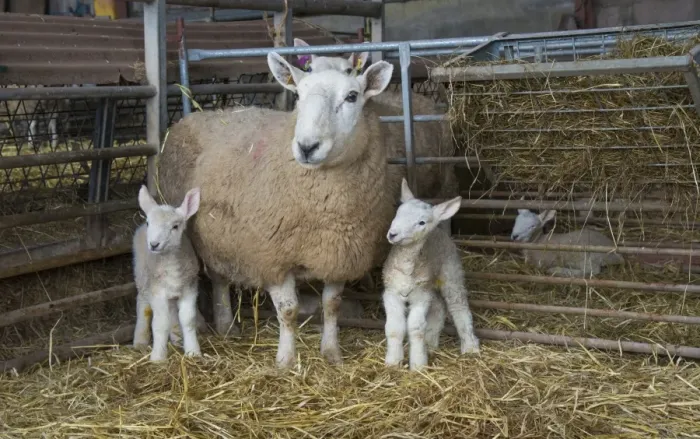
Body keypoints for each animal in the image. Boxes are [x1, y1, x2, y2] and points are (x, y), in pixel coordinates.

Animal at [132, 185, 203, 361]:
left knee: (171, 310)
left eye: (175, 226)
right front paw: (158, 357)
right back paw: (140, 341)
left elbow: (188, 319)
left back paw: (177, 338)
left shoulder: (190, 288)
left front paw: (193, 351)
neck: (171, 266)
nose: (154, 244)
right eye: (149, 223)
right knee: (143, 305)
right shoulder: (157, 292)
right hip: (142, 275)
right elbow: (160, 323)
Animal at [158, 51, 418, 368]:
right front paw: (285, 360)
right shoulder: (273, 257)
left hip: (220, 233)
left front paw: (331, 352)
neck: (328, 211)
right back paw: (210, 326)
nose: (307, 147)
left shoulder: (338, 253)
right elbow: (288, 311)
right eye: (299, 96)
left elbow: (332, 305)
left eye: (352, 96)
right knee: (206, 278)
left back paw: (226, 327)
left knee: (219, 277)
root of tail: (191, 116)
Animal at [383, 178, 479, 370]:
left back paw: (470, 346)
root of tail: (440, 230)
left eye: (421, 223)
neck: (407, 266)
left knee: (458, 307)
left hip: (451, 272)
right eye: (398, 213)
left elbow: (415, 328)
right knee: (439, 307)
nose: (393, 234)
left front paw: (418, 365)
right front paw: (393, 362)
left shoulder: (421, 296)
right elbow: (394, 328)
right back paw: (431, 342)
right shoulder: (392, 292)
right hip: (430, 284)